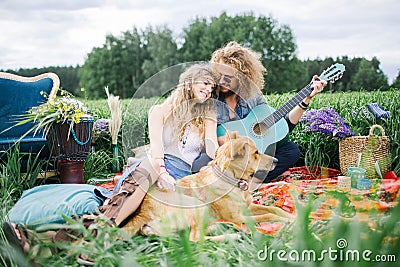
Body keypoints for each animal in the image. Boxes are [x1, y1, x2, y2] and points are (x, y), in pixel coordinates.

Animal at [123, 133, 296, 242]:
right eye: (256, 153)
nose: (276, 160)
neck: (232, 181)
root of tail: (142, 212)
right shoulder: (238, 217)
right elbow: (268, 216)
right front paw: (290, 221)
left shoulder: (248, 208)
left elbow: (274, 209)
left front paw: (292, 215)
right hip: (197, 207)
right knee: (194, 239)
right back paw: (231, 236)